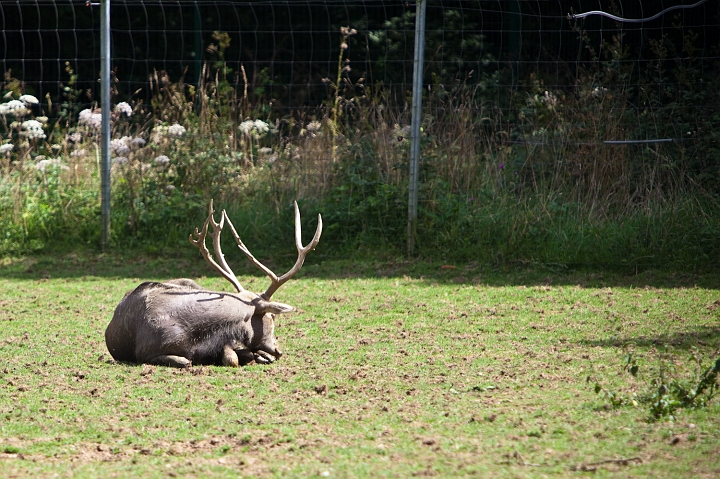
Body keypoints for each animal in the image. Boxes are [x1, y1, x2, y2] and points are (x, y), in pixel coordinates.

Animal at [104, 200, 322, 368]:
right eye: (271, 317)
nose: (278, 350)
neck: (197, 333)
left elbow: (233, 355)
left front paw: (258, 356)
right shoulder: (146, 351)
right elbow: (189, 361)